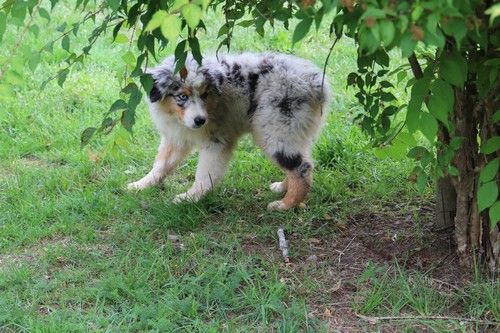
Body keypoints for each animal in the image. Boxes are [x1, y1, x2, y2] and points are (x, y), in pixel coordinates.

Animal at [127, 51, 330, 210]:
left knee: (302, 167)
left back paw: (285, 204)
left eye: (204, 94)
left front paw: (189, 198)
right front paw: (141, 184)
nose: (200, 120)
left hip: (275, 132)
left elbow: (205, 174)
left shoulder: (216, 142)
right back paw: (282, 187)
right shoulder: (178, 136)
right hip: (294, 131)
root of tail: (315, 83)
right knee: (301, 160)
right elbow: (162, 164)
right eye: (182, 96)